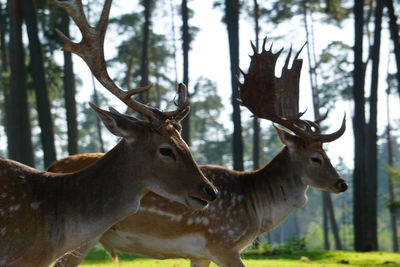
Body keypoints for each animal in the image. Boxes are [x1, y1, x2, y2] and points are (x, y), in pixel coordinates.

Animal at [50, 38, 346, 267]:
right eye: (316, 158)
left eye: (328, 153)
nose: (342, 184)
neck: (256, 208)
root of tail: (51, 168)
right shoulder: (222, 243)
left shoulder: (200, 254)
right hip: (80, 236)